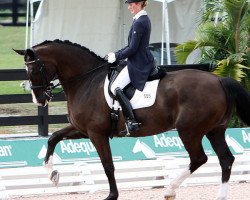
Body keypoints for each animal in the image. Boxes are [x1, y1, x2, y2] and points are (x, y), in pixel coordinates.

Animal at [14, 39, 250, 199]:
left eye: (33, 69)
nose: (39, 100)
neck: (86, 80)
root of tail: (219, 80)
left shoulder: (96, 133)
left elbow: (108, 165)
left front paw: (112, 195)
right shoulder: (82, 129)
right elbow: (53, 137)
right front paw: (52, 174)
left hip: (189, 130)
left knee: (199, 158)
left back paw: (170, 189)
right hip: (214, 130)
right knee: (225, 159)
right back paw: (219, 196)